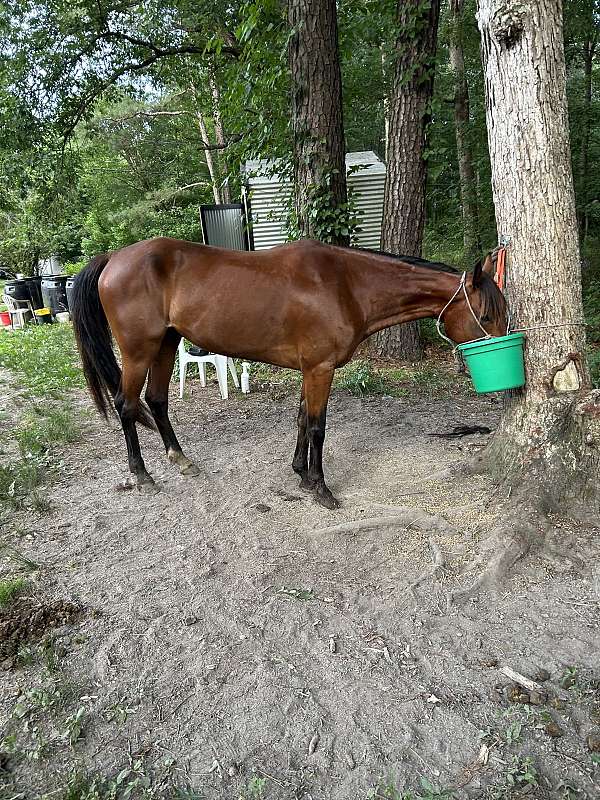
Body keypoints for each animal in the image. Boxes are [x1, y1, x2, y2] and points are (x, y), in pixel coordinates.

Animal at [71, 238, 506, 509]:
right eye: (486, 315)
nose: (506, 359)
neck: (346, 284)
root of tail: (113, 258)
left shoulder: (309, 369)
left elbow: (300, 419)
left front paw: (301, 475)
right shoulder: (320, 369)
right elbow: (316, 426)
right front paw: (321, 489)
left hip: (166, 344)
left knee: (157, 401)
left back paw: (181, 460)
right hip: (139, 350)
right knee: (126, 404)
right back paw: (142, 475)